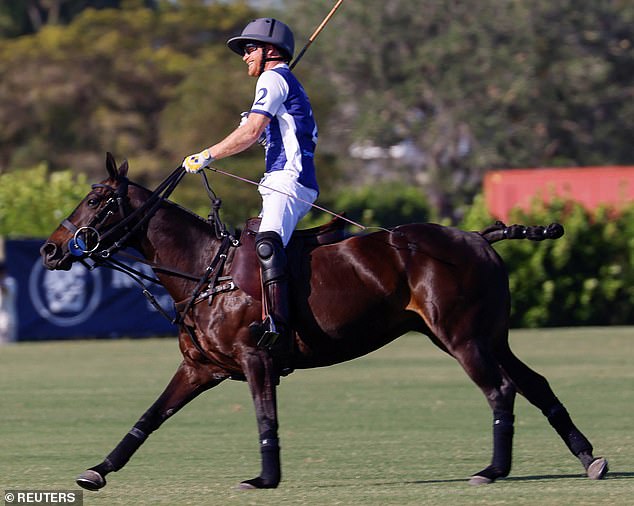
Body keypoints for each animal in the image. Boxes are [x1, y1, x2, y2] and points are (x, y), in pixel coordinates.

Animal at [39, 154, 608, 490]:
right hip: (486, 335)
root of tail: (478, 236)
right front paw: (96, 471)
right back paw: (589, 458)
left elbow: (265, 417)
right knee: (534, 382)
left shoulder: (254, 357)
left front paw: (265, 478)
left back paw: (494, 470)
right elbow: (149, 417)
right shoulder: (202, 367)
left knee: (501, 390)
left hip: (462, 337)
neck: (203, 266)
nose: (49, 250)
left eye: (95, 199)